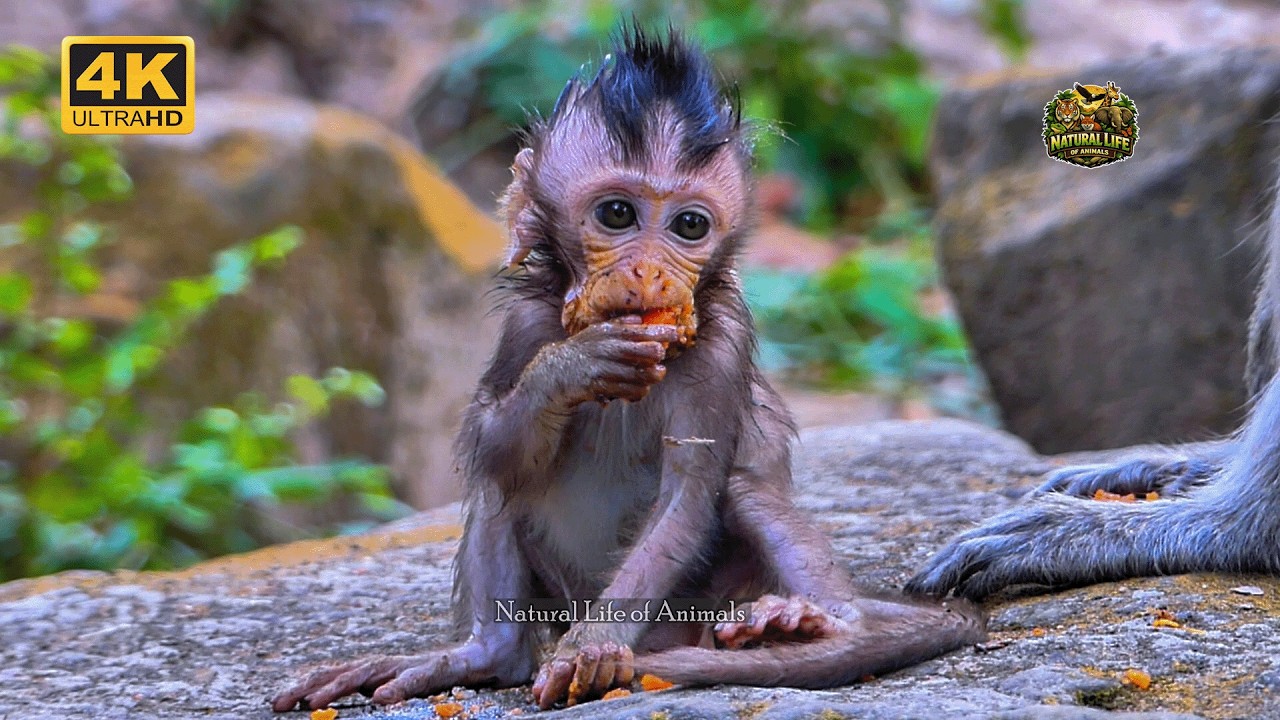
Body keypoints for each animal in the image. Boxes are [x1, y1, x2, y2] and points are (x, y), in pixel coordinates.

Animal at [271, 26, 985, 713]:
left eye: (690, 226)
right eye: (617, 214)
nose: (647, 275)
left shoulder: (720, 348)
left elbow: (687, 493)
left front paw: (591, 647)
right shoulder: (526, 325)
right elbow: (492, 445)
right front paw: (570, 369)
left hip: (692, 614)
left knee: (745, 495)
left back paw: (813, 623)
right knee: (501, 487)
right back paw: (484, 656)